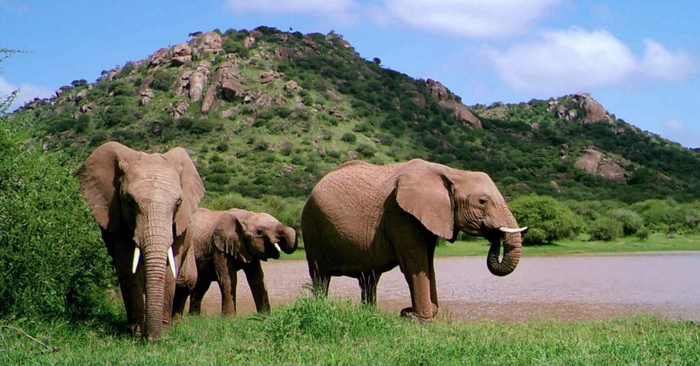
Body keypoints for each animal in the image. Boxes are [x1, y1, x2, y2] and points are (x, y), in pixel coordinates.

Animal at [79, 141, 206, 340]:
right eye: (130, 202)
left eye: (178, 204)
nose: (152, 339)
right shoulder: (118, 218)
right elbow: (128, 270)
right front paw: (136, 334)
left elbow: (169, 272)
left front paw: (163, 333)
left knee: (186, 280)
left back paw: (175, 324)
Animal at [300, 159, 524, 322]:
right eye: (482, 201)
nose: (494, 237)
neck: (451, 172)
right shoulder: (399, 214)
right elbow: (415, 262)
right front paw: (418, 317)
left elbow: (428, 262)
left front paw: (419, 313)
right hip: (311, 225)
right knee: (320, 276)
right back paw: (321, 307)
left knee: (369, 279)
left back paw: (369, 313)